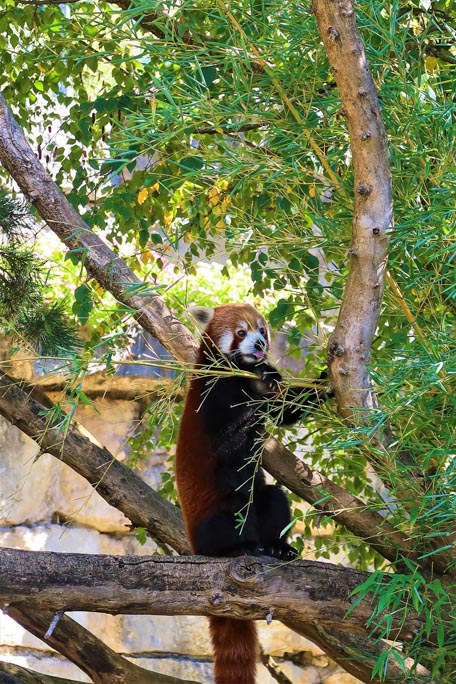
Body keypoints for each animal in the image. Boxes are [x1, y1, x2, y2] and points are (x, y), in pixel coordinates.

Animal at [175, 304, 328, 684]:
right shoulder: (215, 395)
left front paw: (324, 381)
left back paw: (276, 547)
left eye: (262, 329)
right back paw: (239, 547)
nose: (260, 344)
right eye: (241, 332)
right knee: (234, 509)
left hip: (265, 506)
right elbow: (232, 442)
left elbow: (287, 408)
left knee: (272, 497)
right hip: (213, 519)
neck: (243, 373)